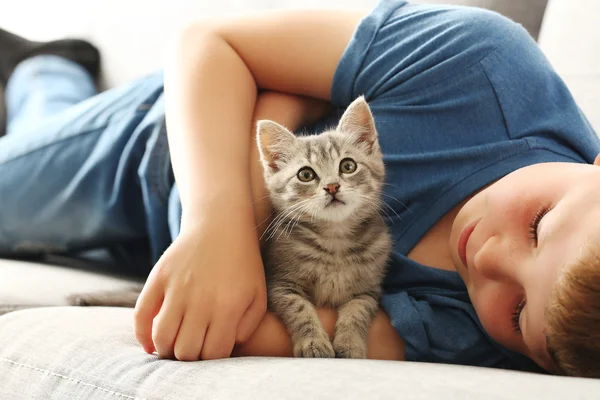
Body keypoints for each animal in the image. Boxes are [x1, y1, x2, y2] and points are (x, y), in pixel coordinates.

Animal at [258, 95, 394, 358]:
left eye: (348, 166)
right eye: (306, 174)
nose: (332, 187)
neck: (335, 240)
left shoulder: (369, 290)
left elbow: (357, 311)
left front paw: (350, 344)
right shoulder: (280, 284)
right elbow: (299, 309)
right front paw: (313, 343)